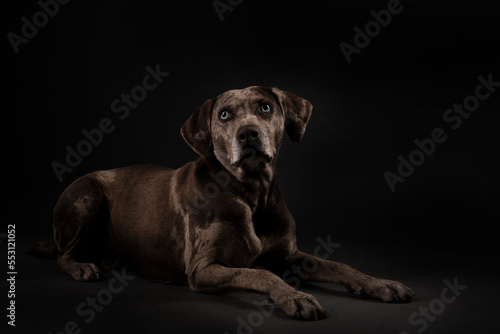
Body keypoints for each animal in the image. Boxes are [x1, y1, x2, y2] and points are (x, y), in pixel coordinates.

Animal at [33, 85, 412, 318]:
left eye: (265, 107)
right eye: (225, 115)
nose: (249, 134)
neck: (251, 194)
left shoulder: (289, 255)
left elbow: (340, 266)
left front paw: (380, 284)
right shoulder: (203, 269)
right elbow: (261, 274)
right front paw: (296, 296)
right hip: (86, 194)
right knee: (63, 256)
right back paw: (82, 267)